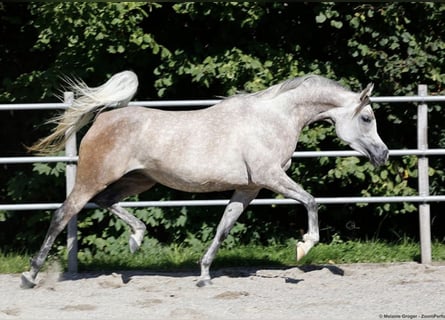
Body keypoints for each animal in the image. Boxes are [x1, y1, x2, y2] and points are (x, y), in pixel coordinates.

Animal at [21, 69, 386, 288]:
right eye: (367, 118)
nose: (383, 155)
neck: (274, 118)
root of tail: (104, 118)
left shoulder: (249, 188)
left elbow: (224, 226)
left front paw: (204, 274)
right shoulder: (271, 176)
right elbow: (311, 201)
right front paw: (303, 247)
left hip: (139, 180)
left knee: (105, 202)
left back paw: (137, 238)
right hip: (92, 178)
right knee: (63, 213)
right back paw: (30, 274)